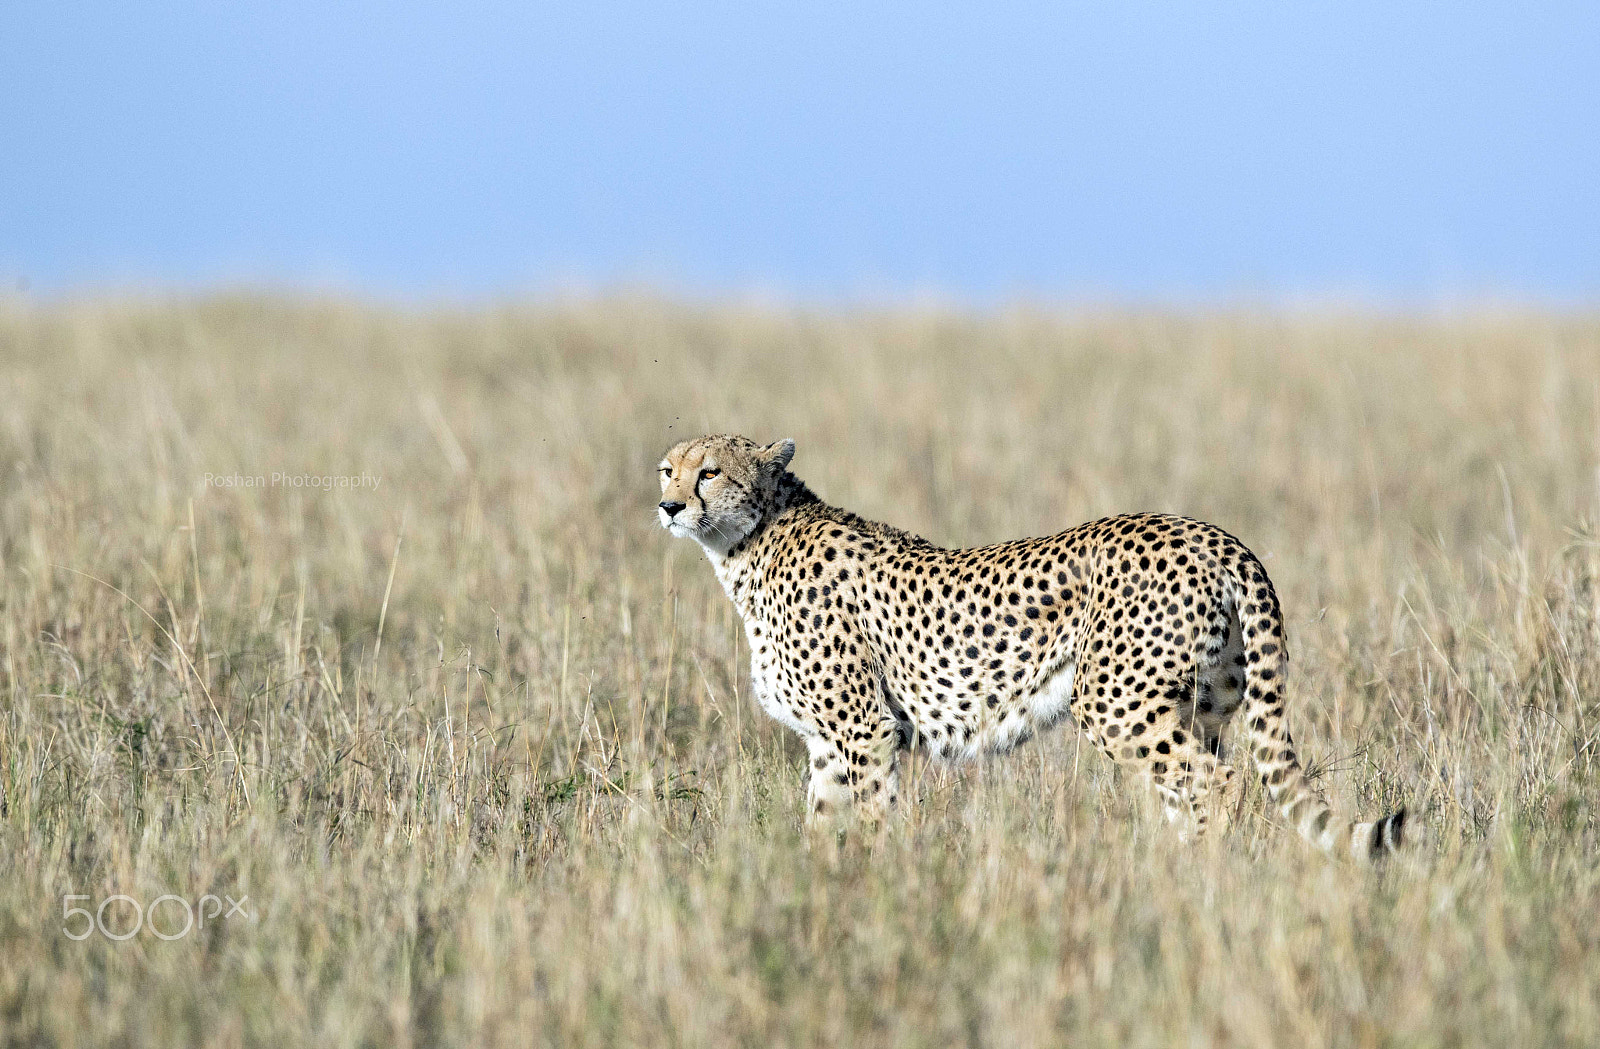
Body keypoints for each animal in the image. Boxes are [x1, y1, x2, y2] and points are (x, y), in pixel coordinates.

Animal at [656, 434, 1408, 863]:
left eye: (710, 473)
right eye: (667, 469)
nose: (668, 506)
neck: (749, 541)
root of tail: (1210, 532)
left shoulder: (864, 729)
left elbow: (871, 817)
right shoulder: (827, 742)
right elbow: (821, 824)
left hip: (1116, 703)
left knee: (1216, 783)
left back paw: (1200, 878)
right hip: (1205, 707)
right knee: (1192, 786)